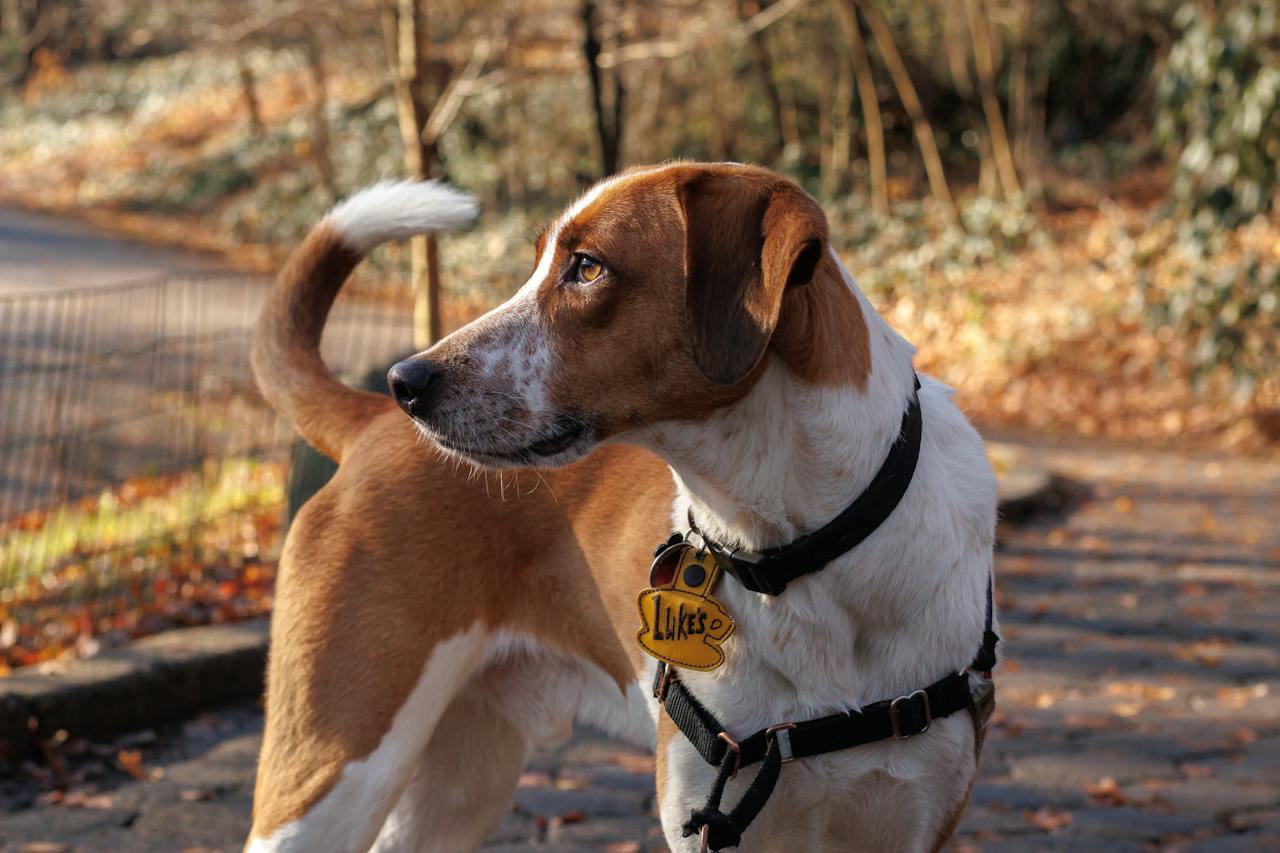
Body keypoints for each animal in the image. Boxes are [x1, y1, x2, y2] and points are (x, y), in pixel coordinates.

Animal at [244, 161, 993, 850]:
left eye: (585, 267)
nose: (408, 381)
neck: (791, 556)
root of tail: (371, 420)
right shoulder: (702, 819)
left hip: (456, 788)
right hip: (332, 776)